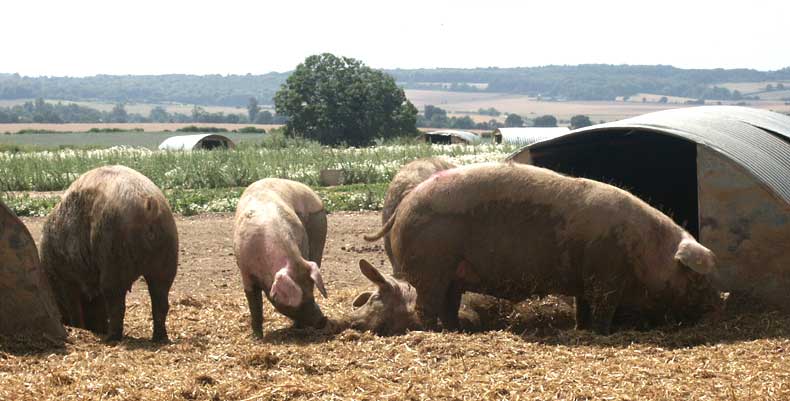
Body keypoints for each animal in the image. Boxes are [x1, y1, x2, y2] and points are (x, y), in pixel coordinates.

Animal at [40, 165, 178, 342]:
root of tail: (149, 204)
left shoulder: (66, 278)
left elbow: (75, 307)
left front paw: (79, 327)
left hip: (113, 256)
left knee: (116, 302)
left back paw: (111, 338)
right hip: (166, 258)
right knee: (161, 300)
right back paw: (159, 339)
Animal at [233, 178, 328, 338]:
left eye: (311, 291)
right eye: (299, 299)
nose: (323, 320)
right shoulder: (245, 270)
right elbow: (254, 304)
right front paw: (257, 338)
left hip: (320, 231)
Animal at [360, 162, 722, 335]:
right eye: (697, 277)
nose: (717, 306)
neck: (647, 251)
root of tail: (403, 204)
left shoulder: (586, 280)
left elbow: (582, 309)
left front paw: (581, 330)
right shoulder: (605, 278)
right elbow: (603, 310)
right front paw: (602, 334)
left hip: (452, 274)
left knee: (448, 307)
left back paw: (456, 331)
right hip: (432, 268)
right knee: (427, 308)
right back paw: (435, 333)